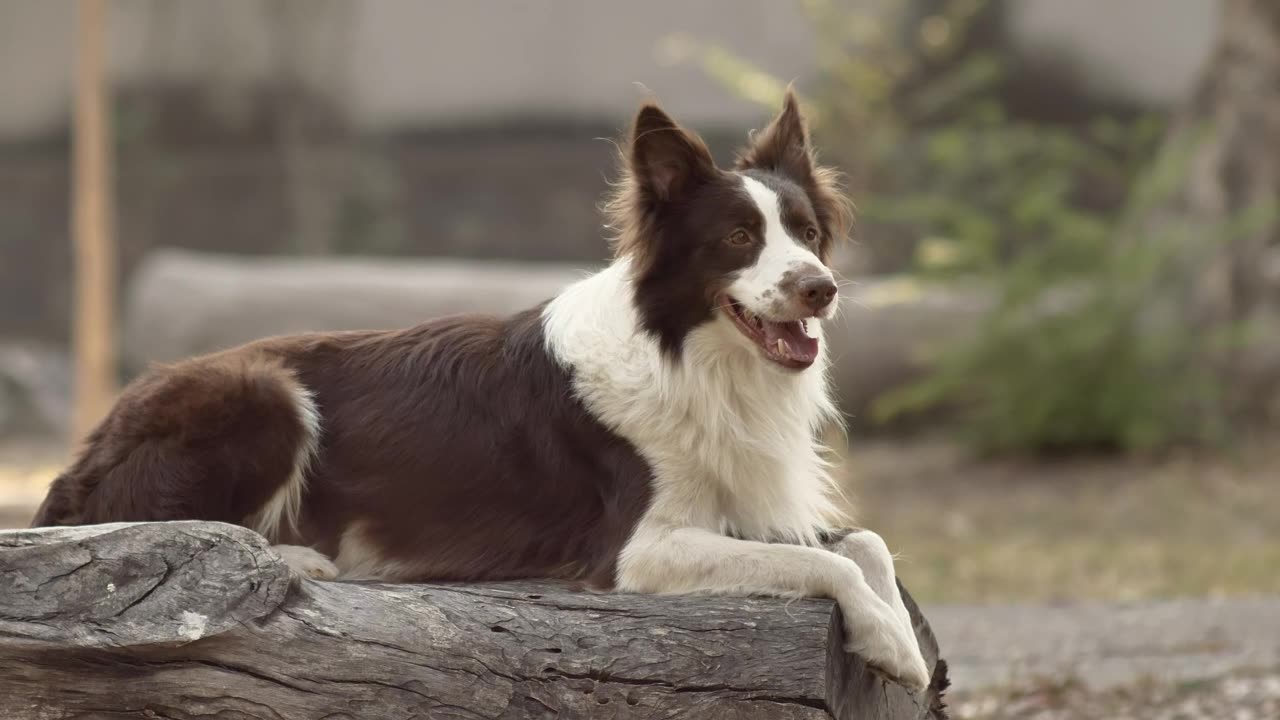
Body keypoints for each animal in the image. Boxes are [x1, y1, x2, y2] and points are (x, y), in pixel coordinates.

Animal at [32, 92, 931, 686]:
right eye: (740, 238)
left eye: (807, 234)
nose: (820, 289)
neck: (691, 355)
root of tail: (97, 433)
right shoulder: (638, 547)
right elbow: (827, 563)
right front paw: (889, 642)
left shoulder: (747, 504)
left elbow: (864, 542)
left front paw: (901, 637)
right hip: (262, 395)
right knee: (152, 525)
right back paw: (297, 553)